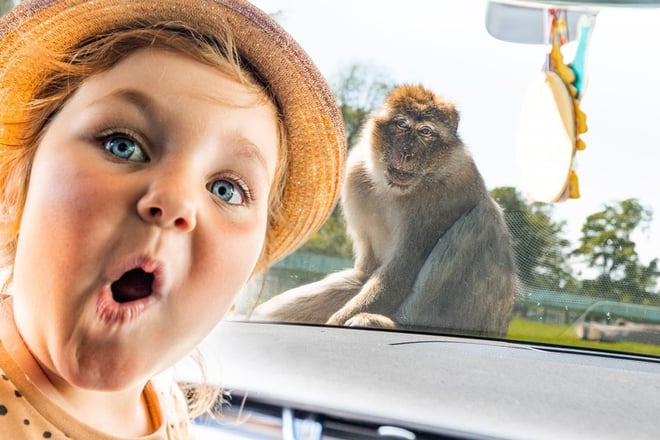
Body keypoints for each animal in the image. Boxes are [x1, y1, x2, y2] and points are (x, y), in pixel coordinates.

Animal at [254, 84, 518, 337]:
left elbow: (401, 270)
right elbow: (366, 271)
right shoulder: (355, 176)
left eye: (425, 131)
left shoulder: (438, 198)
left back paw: (393, 324)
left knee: (481, 221)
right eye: (402, 125)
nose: (406, 153)